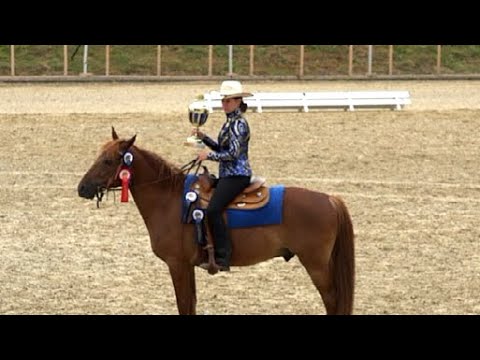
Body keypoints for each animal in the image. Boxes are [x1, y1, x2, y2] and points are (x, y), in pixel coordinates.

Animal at [78, 128, 356, 314]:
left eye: (108, 160)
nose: (82, 188)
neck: (169, 200)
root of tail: (330, 199)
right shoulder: (187, 267)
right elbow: (190, 304)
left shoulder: (177, 264)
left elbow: (184, 305)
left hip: (316, 265)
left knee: (332, 300)